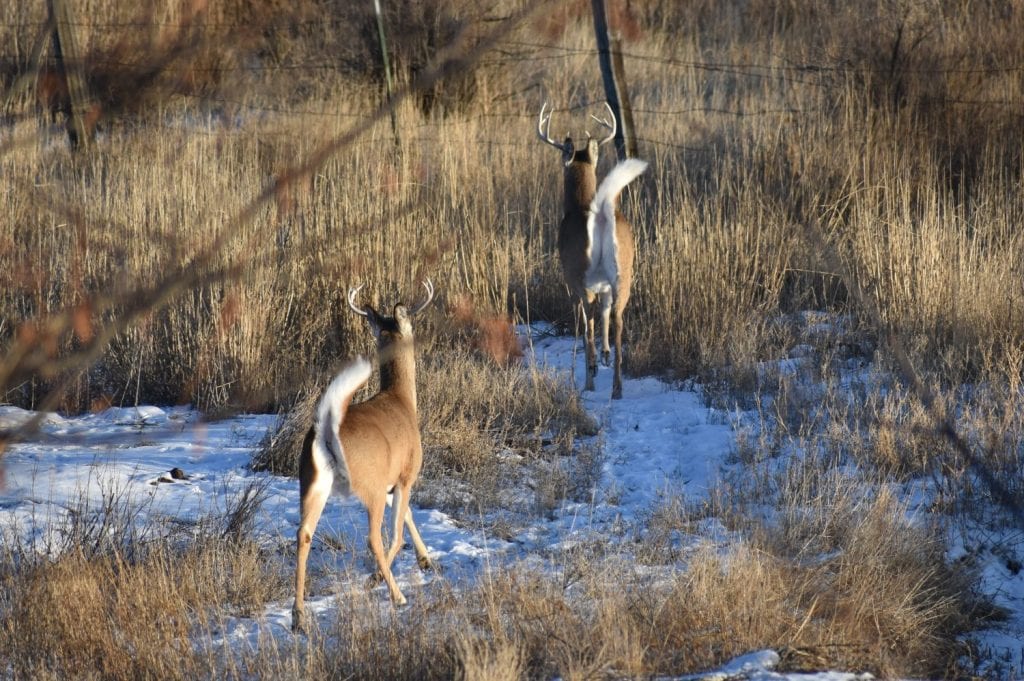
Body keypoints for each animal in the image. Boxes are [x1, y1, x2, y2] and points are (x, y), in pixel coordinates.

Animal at [293, 279, 436, 632]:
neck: (402, 400)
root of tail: (327, 431)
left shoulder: (390, 483)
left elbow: (407, 516)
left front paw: (425, 559)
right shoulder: (404, 475)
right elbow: (399, 528)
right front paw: (378, 578)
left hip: (311, 482)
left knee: (304, 534)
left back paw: (298, 616)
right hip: (368, 485)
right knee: (374, 538)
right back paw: (398, 596)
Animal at [537, 102, 648, 399]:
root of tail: (600, 213)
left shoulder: (572, 280)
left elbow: (588, 321)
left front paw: (597, 363)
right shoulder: (606, 286)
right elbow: (606, 314)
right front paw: (606, 353)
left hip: (580, 274)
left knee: (588, 323)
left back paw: (590, 378)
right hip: (623, 272)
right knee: (618, 318)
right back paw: (617, 386)